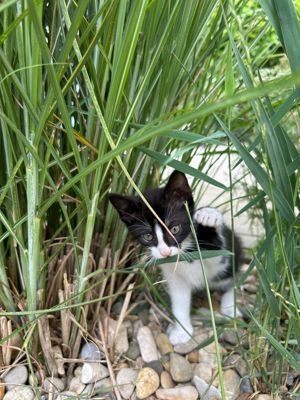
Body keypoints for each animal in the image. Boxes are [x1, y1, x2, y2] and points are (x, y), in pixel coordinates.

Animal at [109, 170, 243, 346]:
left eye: (175, 228)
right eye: (147, 236)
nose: (165, 252)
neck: (182, 253)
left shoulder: (221, 259)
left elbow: (217, 253)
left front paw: (208, 216)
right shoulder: (175, 277)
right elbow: (179, 301)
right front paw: (182, 332)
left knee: (232, 279)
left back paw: (229, 306)